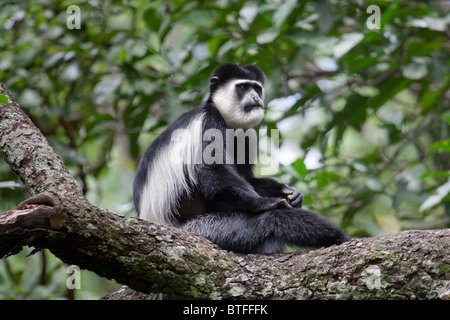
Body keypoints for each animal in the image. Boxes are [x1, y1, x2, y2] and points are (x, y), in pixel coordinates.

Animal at [132, 62, 350, 252]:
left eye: (257, 89)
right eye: (243, 87)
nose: (255, 98)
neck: (226, 121)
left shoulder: (245, 136)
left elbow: (247, 179)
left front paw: (290, 193)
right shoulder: (209, 123)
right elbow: (213, 171)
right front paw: (264, 202)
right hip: (203, 229)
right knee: (272, 219)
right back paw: (339, 237)